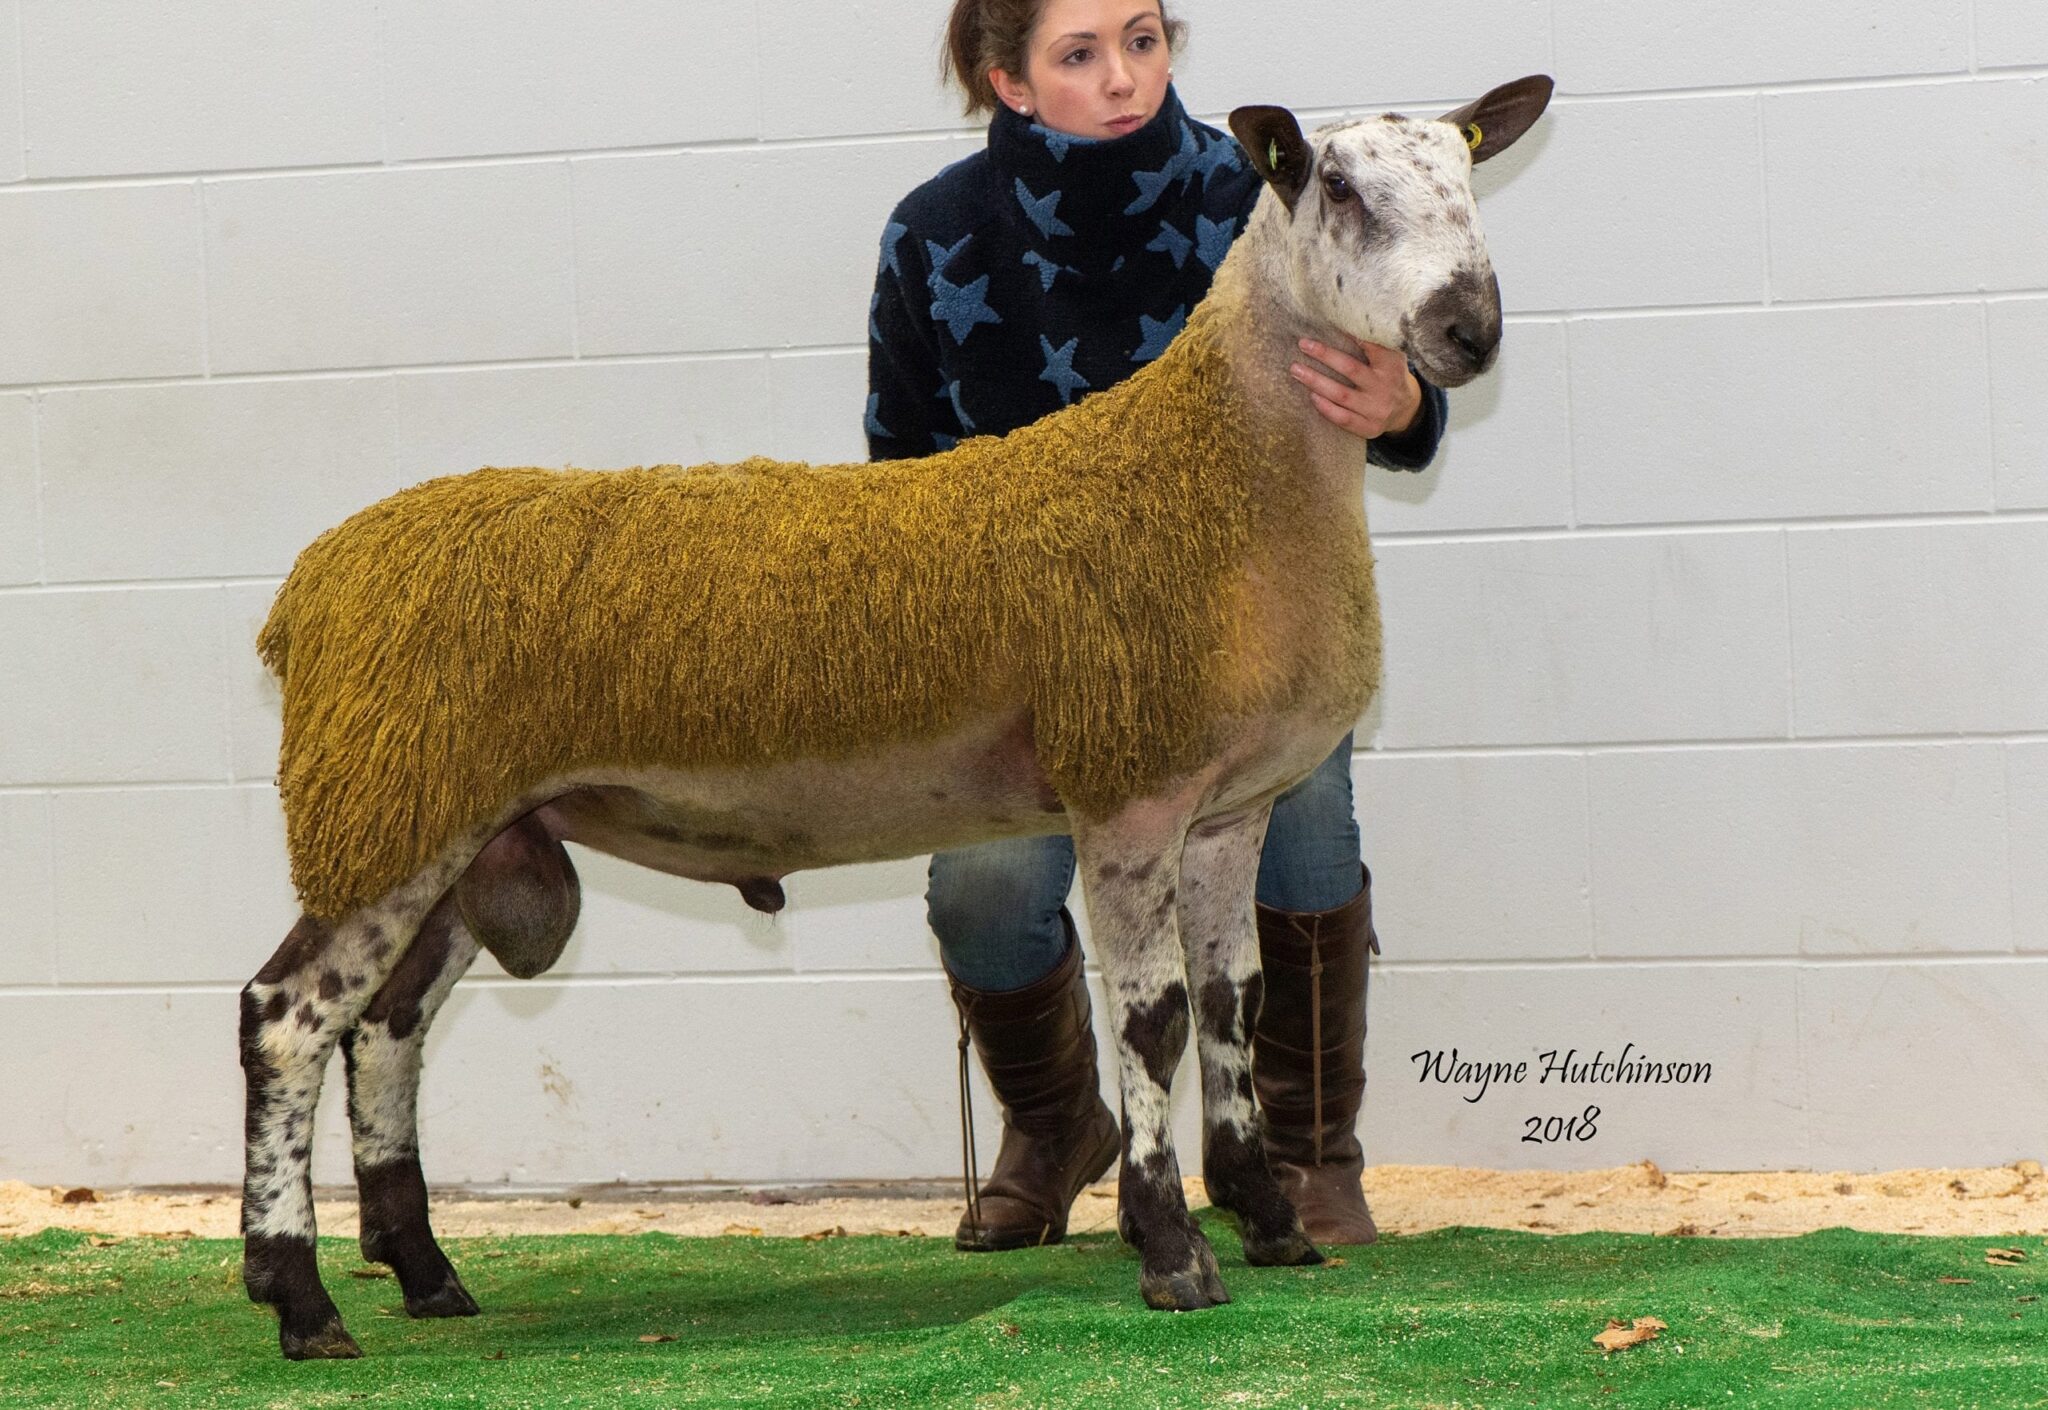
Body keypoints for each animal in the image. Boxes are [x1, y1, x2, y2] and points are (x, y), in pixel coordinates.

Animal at [239, 74, 1540, 1352]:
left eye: (1468, 170)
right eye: (1338, 187)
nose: (1468, 331)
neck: (1217, 475)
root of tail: (309, 585)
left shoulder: (1228, 810)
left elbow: (1233, 1003)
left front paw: (1269, 1224)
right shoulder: (1126, 790)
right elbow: (1155, 1020)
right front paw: (1172, 1254)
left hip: (459, 827)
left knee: (386, 1029)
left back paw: (423, 1273)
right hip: (387, 811)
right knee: (287, 1019)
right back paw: (299, 1298)